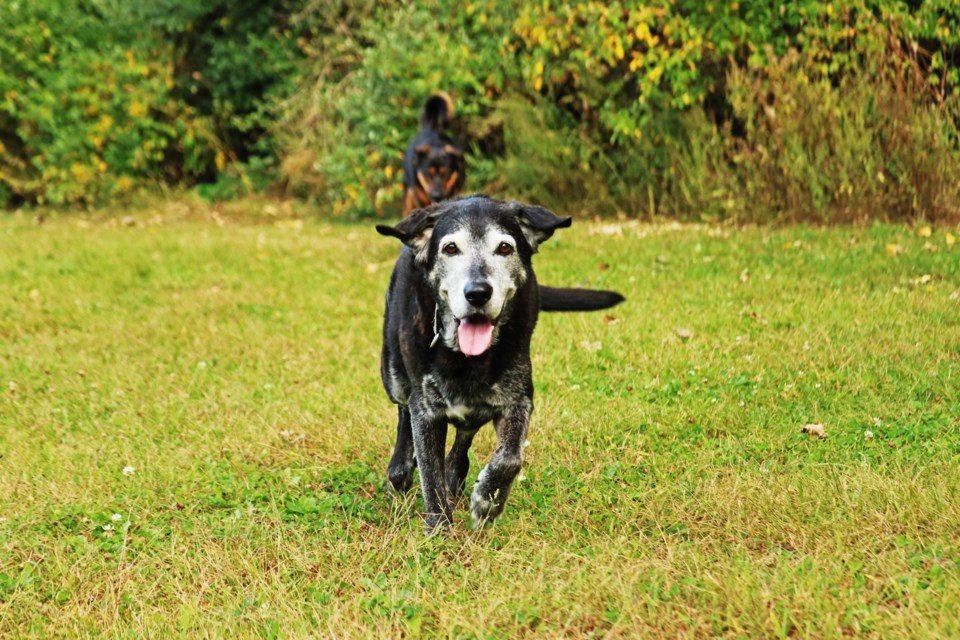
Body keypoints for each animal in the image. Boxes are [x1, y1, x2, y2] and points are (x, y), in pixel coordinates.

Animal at [376, 192, 624, 532]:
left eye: (505, 248)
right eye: (450, 248)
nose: (478, 292)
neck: (467, 357)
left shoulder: (518, 399)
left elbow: (510, 458)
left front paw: (488, 500)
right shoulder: (425, 408)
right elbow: (430, 472)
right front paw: (440, 530)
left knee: (463, 437)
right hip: (394, 375)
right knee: (404, 414)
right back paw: (401, 468)